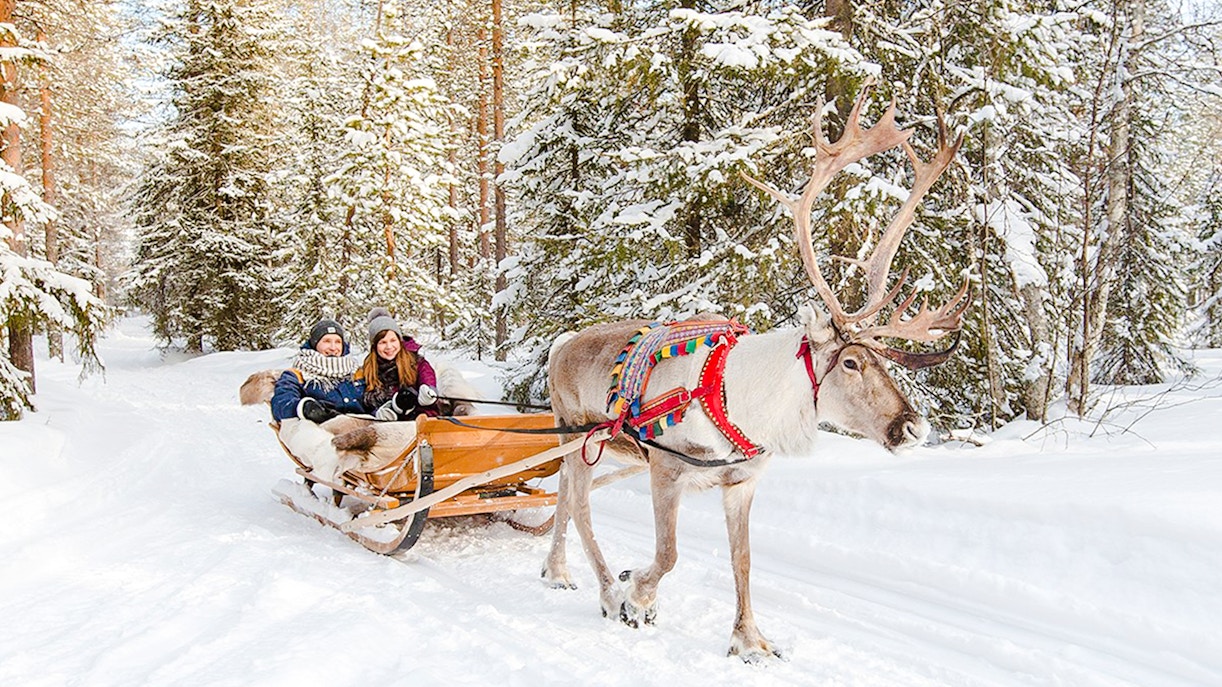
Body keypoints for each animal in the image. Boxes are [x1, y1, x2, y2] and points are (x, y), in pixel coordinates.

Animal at [540, 84, 969, 661]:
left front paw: (750, 641)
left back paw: (556, 570)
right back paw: (608, 591)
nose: (914, 428)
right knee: (582, 505)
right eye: (851, 362)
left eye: (882, 361)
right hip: (577, 432)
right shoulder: (666, 468)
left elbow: (742, 561)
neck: (743, 403)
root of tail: (560, 346)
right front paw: (637, 596)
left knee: (564, 493)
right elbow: (668, 553)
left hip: (586, 444)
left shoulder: (742, 482)